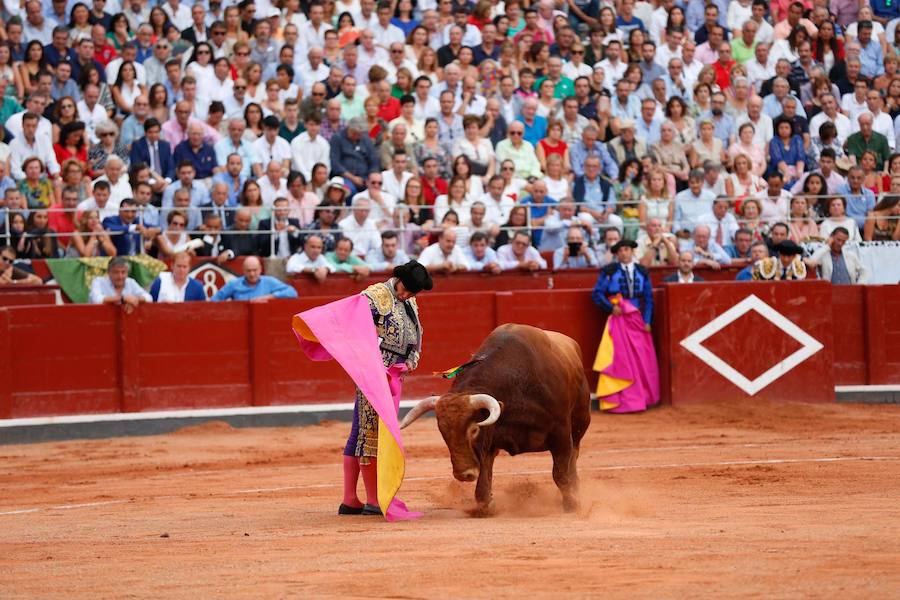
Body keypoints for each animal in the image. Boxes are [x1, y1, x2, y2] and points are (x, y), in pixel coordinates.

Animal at [400, 324, 592, 510]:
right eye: (443, 431)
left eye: (474, 429)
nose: (463, 474)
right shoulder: (489, 442)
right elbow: (484, 476)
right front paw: (487, 504)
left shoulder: (561, 434)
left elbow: (561, 473)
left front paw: (572, 503)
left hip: (580, 423)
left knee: (574, 456)